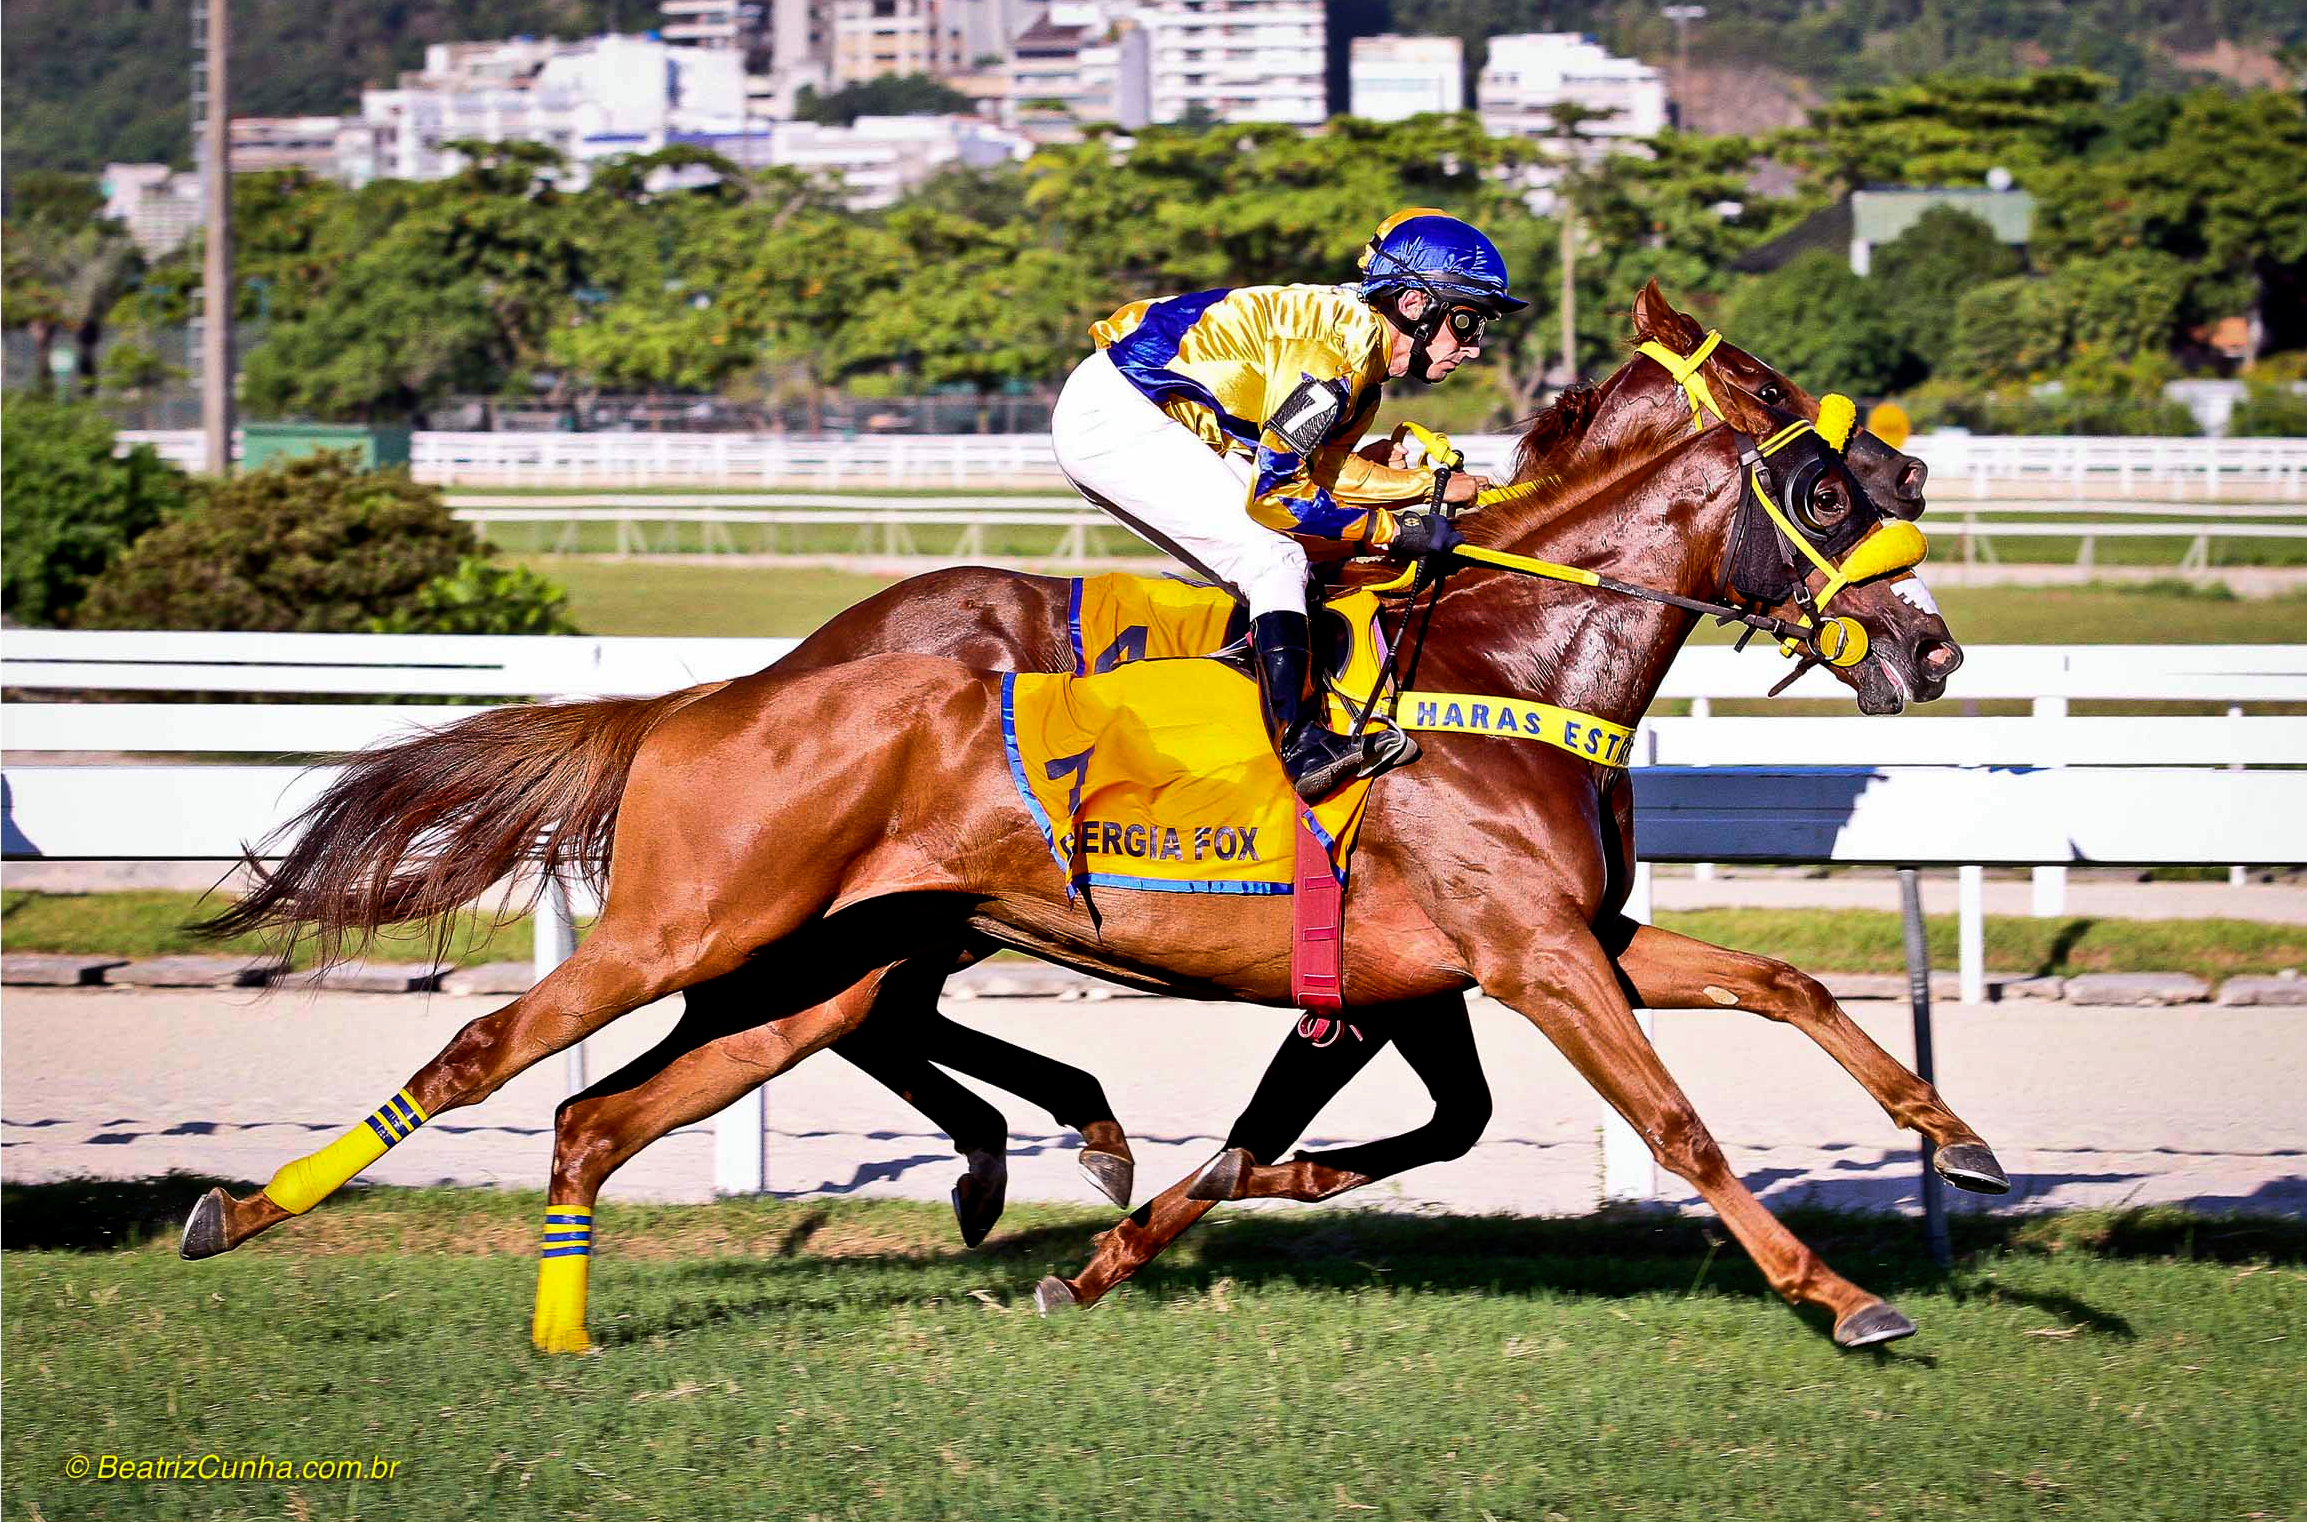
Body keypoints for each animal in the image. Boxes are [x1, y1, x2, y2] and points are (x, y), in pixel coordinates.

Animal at [180, 288, 1970, 1280]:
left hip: (824, 957)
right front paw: (1840, 1293)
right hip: (704, 927)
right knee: (500, 1052)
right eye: (1820, 479)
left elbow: (1778, 982)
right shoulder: (1522, 958)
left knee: (633, 1099)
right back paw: (241, 1211)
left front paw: (1949, 1133)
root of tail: (736, 688)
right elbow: (1668, 1120)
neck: (1501, 660)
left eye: (1879, 474)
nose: (1932, 644)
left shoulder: (1526, 951)